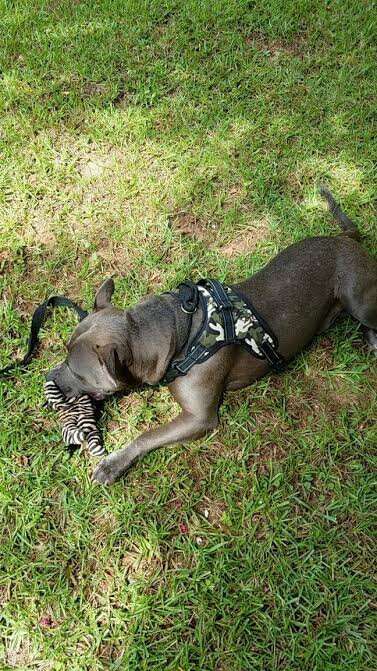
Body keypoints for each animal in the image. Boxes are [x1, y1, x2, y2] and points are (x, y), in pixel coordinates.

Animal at [46, 189, 376, 484]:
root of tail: (345, 239)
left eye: (79, 372)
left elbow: (148, 434)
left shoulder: (198, 417)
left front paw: (113, 464)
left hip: (357, 299)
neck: (175, 334)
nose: (50, 379)